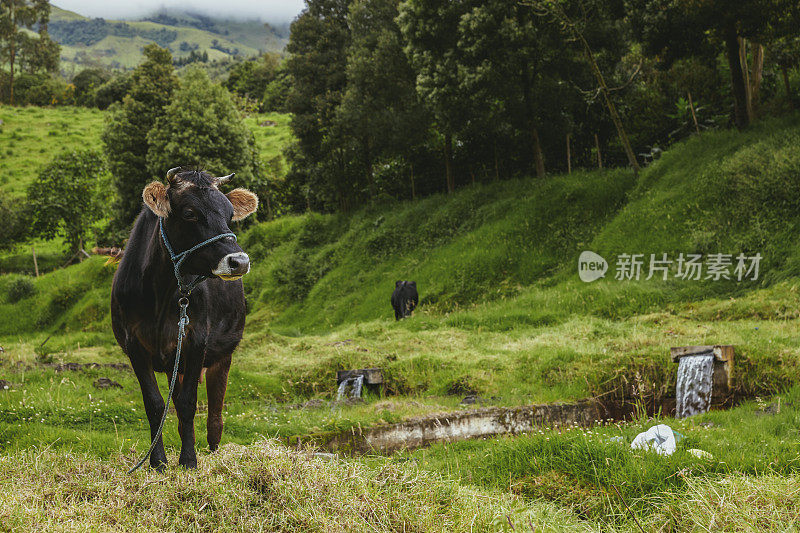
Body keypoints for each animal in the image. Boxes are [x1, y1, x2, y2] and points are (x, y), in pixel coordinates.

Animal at [110, 168, 256, 468]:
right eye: (190, 213)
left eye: (229, 213)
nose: (239, 261)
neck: (160, 291)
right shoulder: (135, 345)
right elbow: (155, 404)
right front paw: (157, 462)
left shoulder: (196, 340)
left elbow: (189, 402)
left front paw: (188, 460)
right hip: (171, 362)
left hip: (222, 355)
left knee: (214, 413)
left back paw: (213, 450)